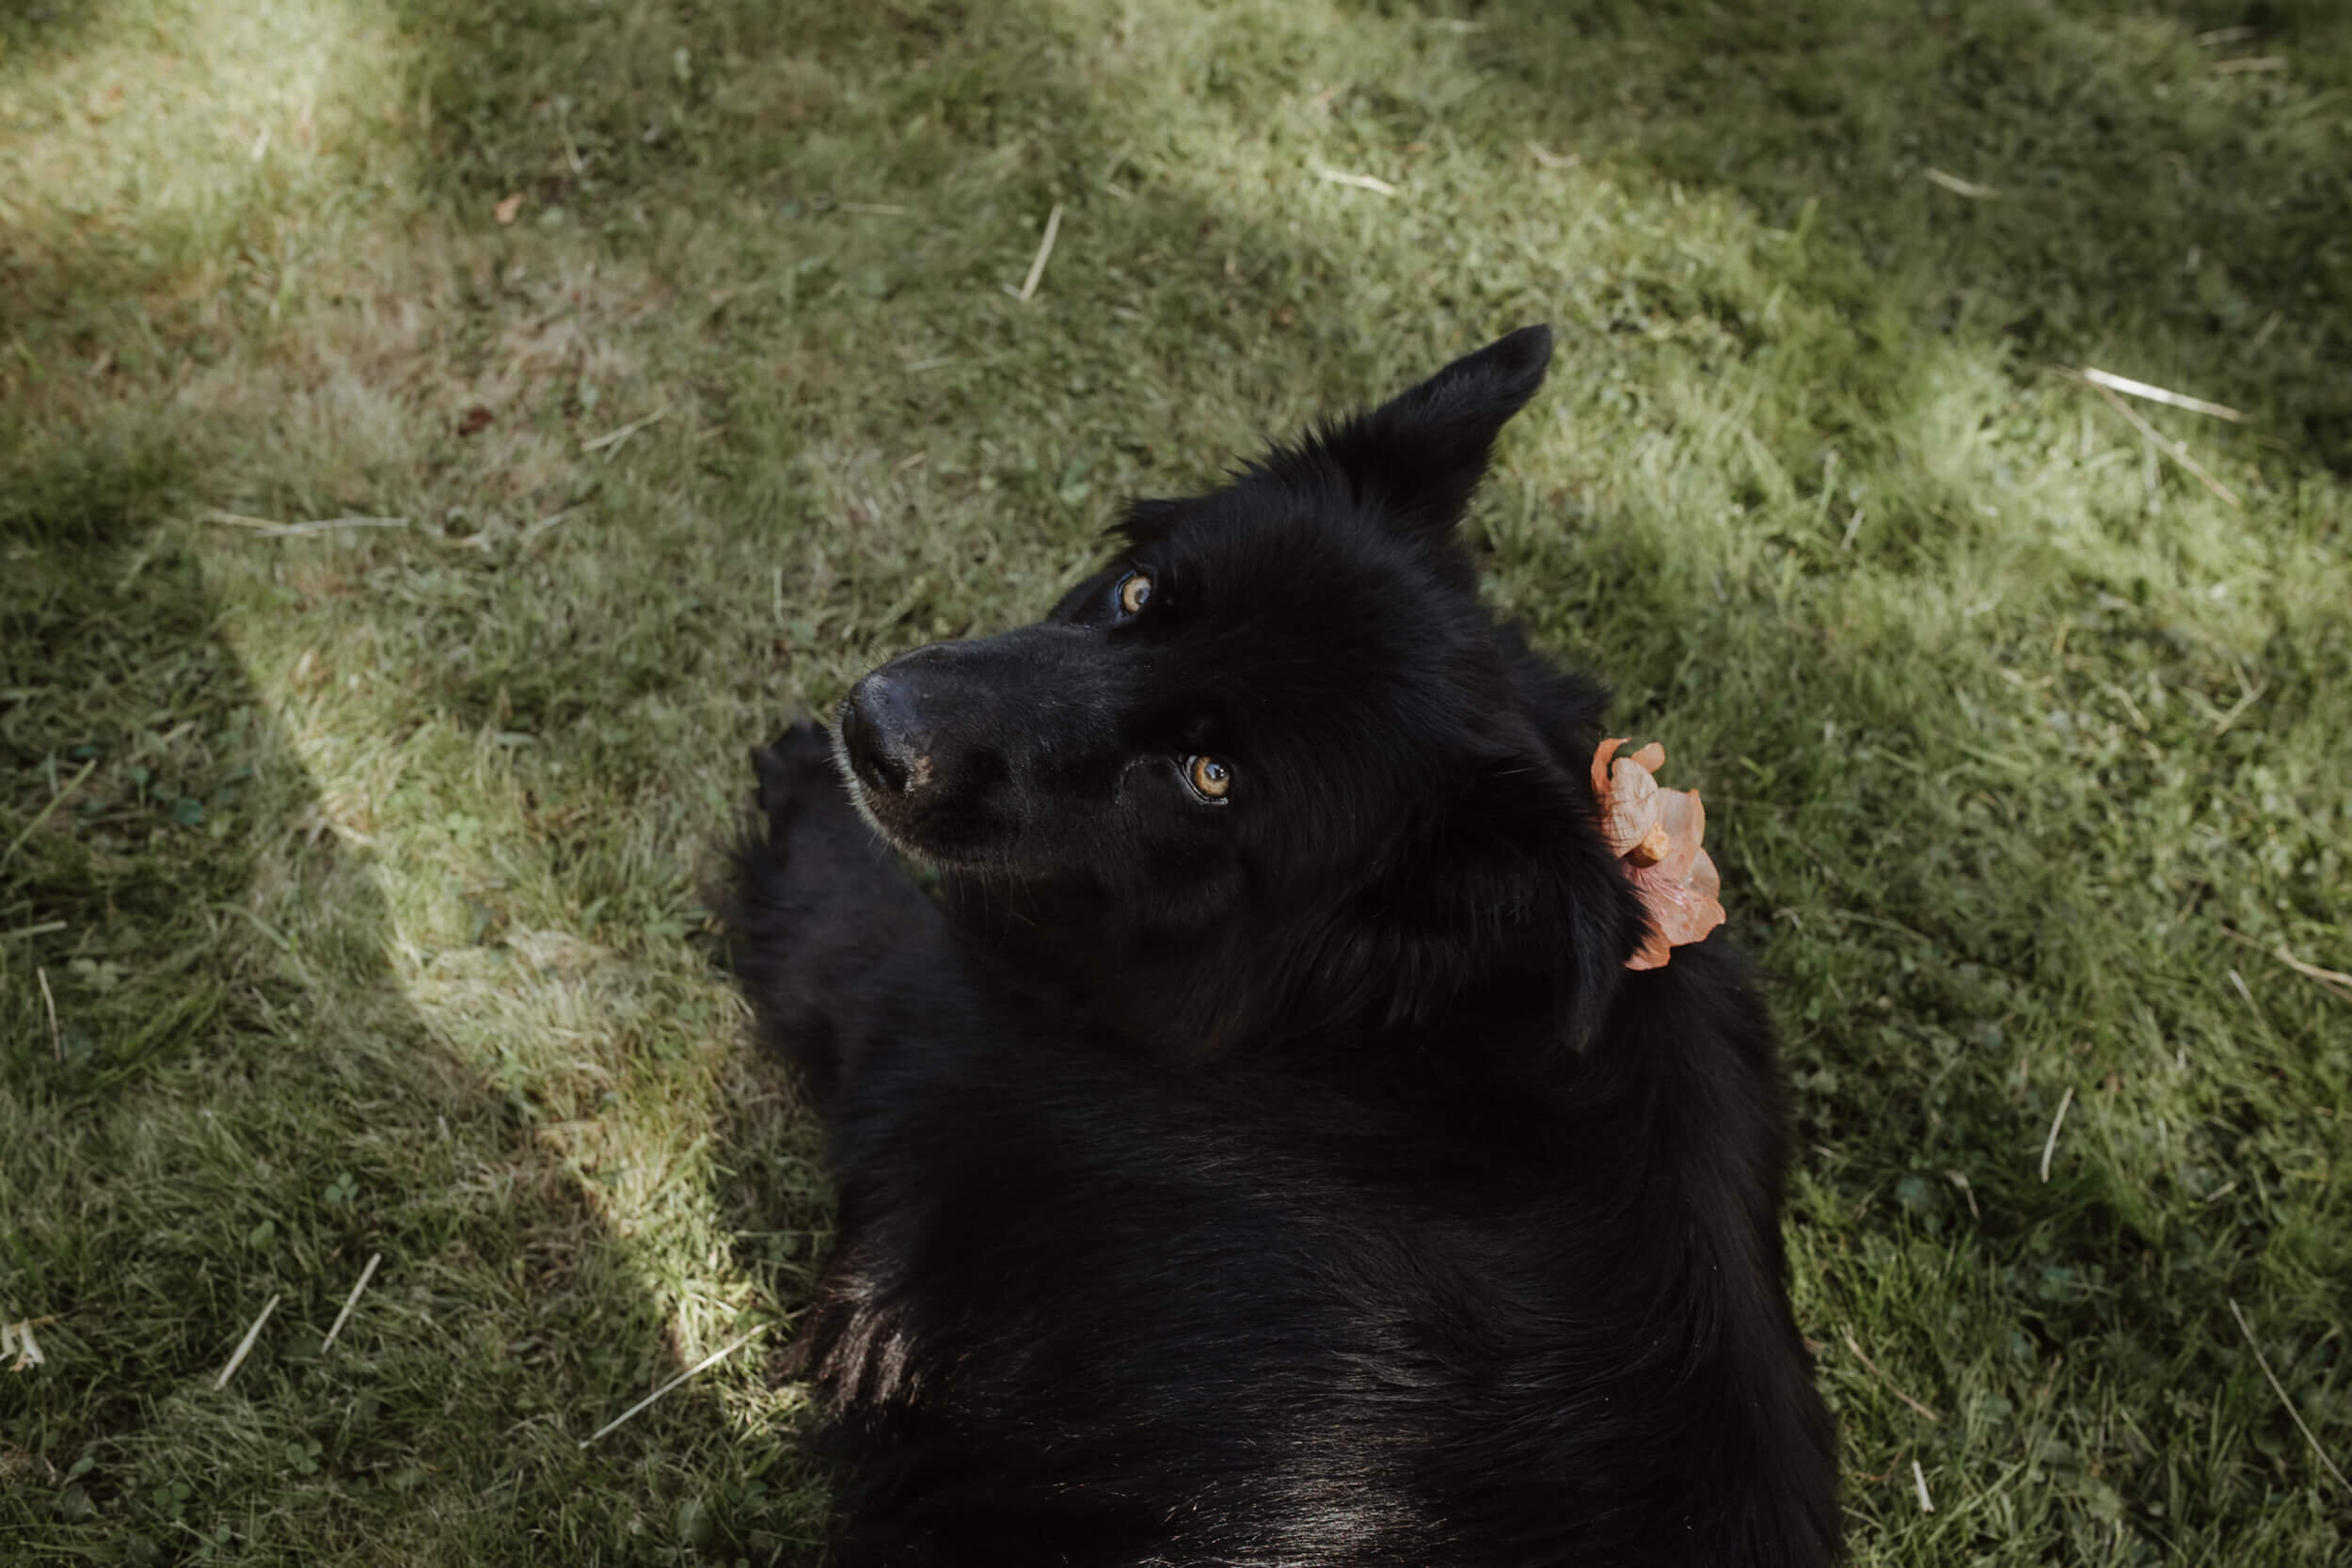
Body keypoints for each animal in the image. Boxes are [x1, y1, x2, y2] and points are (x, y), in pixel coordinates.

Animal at [729, 324, 1835, 1560]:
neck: (1393, 1024)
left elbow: (860, 933)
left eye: (1209, 776)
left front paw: (807, 807)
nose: (873, 732)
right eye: (1139, 589)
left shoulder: (940, 1047)